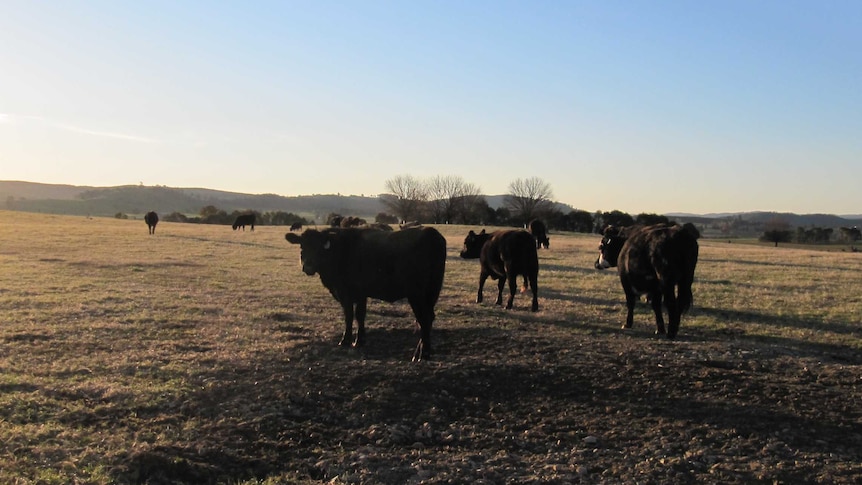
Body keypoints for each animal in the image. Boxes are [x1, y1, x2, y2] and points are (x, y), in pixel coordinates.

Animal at [286, 226, 446, 360]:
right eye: (302, 246)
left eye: (319, 247)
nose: (308, 266)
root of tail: (430, 232)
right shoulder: (361, 294)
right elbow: (360, 315)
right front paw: (359, 340)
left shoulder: (345, 293)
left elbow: (349, 316)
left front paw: (345, 340)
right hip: (431, 292)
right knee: (428, 319)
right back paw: (421, 351)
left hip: (416, 294)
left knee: (424, 319)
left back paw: (422, 355)